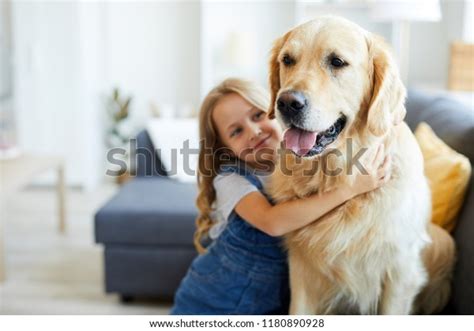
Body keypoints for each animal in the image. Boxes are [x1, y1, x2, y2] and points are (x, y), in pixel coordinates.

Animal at [266, 16, 456, 316]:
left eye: (337, 62)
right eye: (287, 60)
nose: (286, 102)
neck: (337, 172)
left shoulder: (401, 273)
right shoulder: (302, 269)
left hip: (443, 243)